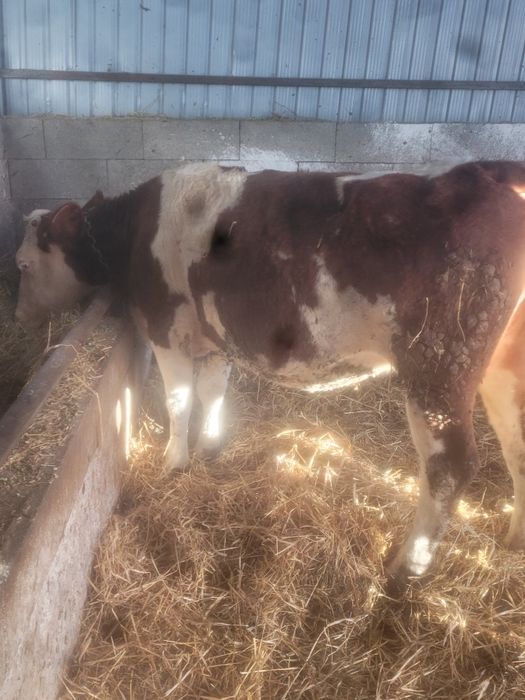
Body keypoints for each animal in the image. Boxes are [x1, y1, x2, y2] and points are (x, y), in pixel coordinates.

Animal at [13, 161, 525, 588]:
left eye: (22, 264)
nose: (21, 318)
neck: (136, 231)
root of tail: (482, 173)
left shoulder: (166, 329)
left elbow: (179, 401)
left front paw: (173, 463)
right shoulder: (213, 339)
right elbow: (212, 392)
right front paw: (210, 448)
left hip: (438, 365)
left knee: (449, 466)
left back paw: (405, 569)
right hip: (500, 368)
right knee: (516, 444)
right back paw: (514, 538)